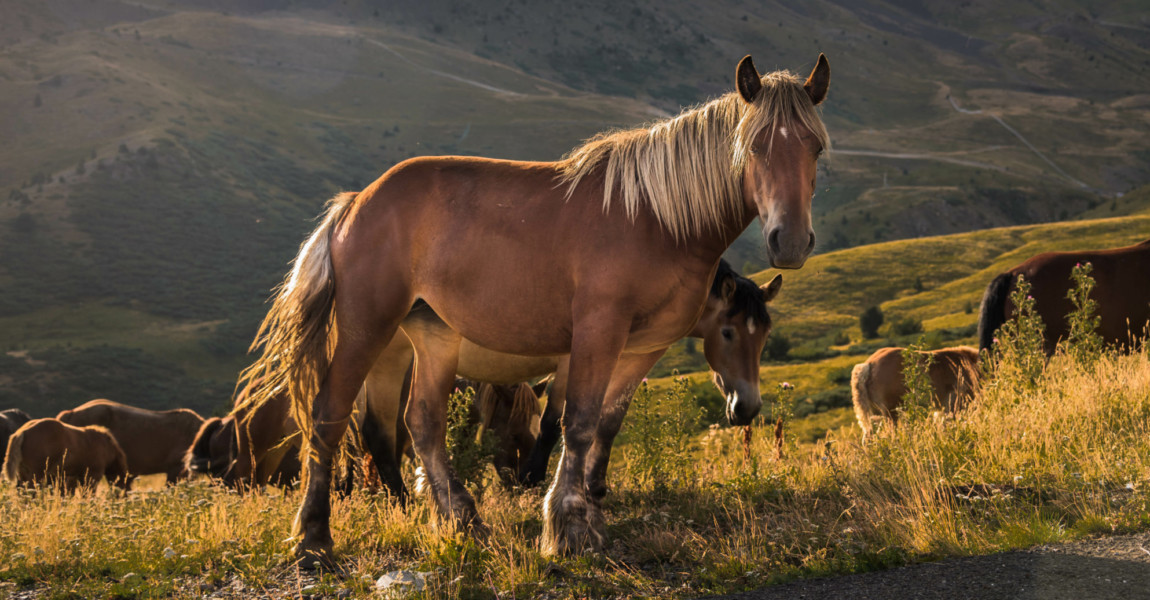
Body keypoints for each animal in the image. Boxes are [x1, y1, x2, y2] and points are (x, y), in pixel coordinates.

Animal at [242, 51, 832, 556]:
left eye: (816, 148)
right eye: (754, 146)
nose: (790, 241)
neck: (658, 219)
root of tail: (354, 204)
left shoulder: (640, 347)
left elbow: (606, 422)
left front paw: (589, 506)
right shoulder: (595, 334)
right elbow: (577, 422)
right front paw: (566, 525)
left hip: (434, 337)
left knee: (424, 422)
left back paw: (462, 518)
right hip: (369, 330)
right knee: (331, 417)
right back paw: (315, 540)